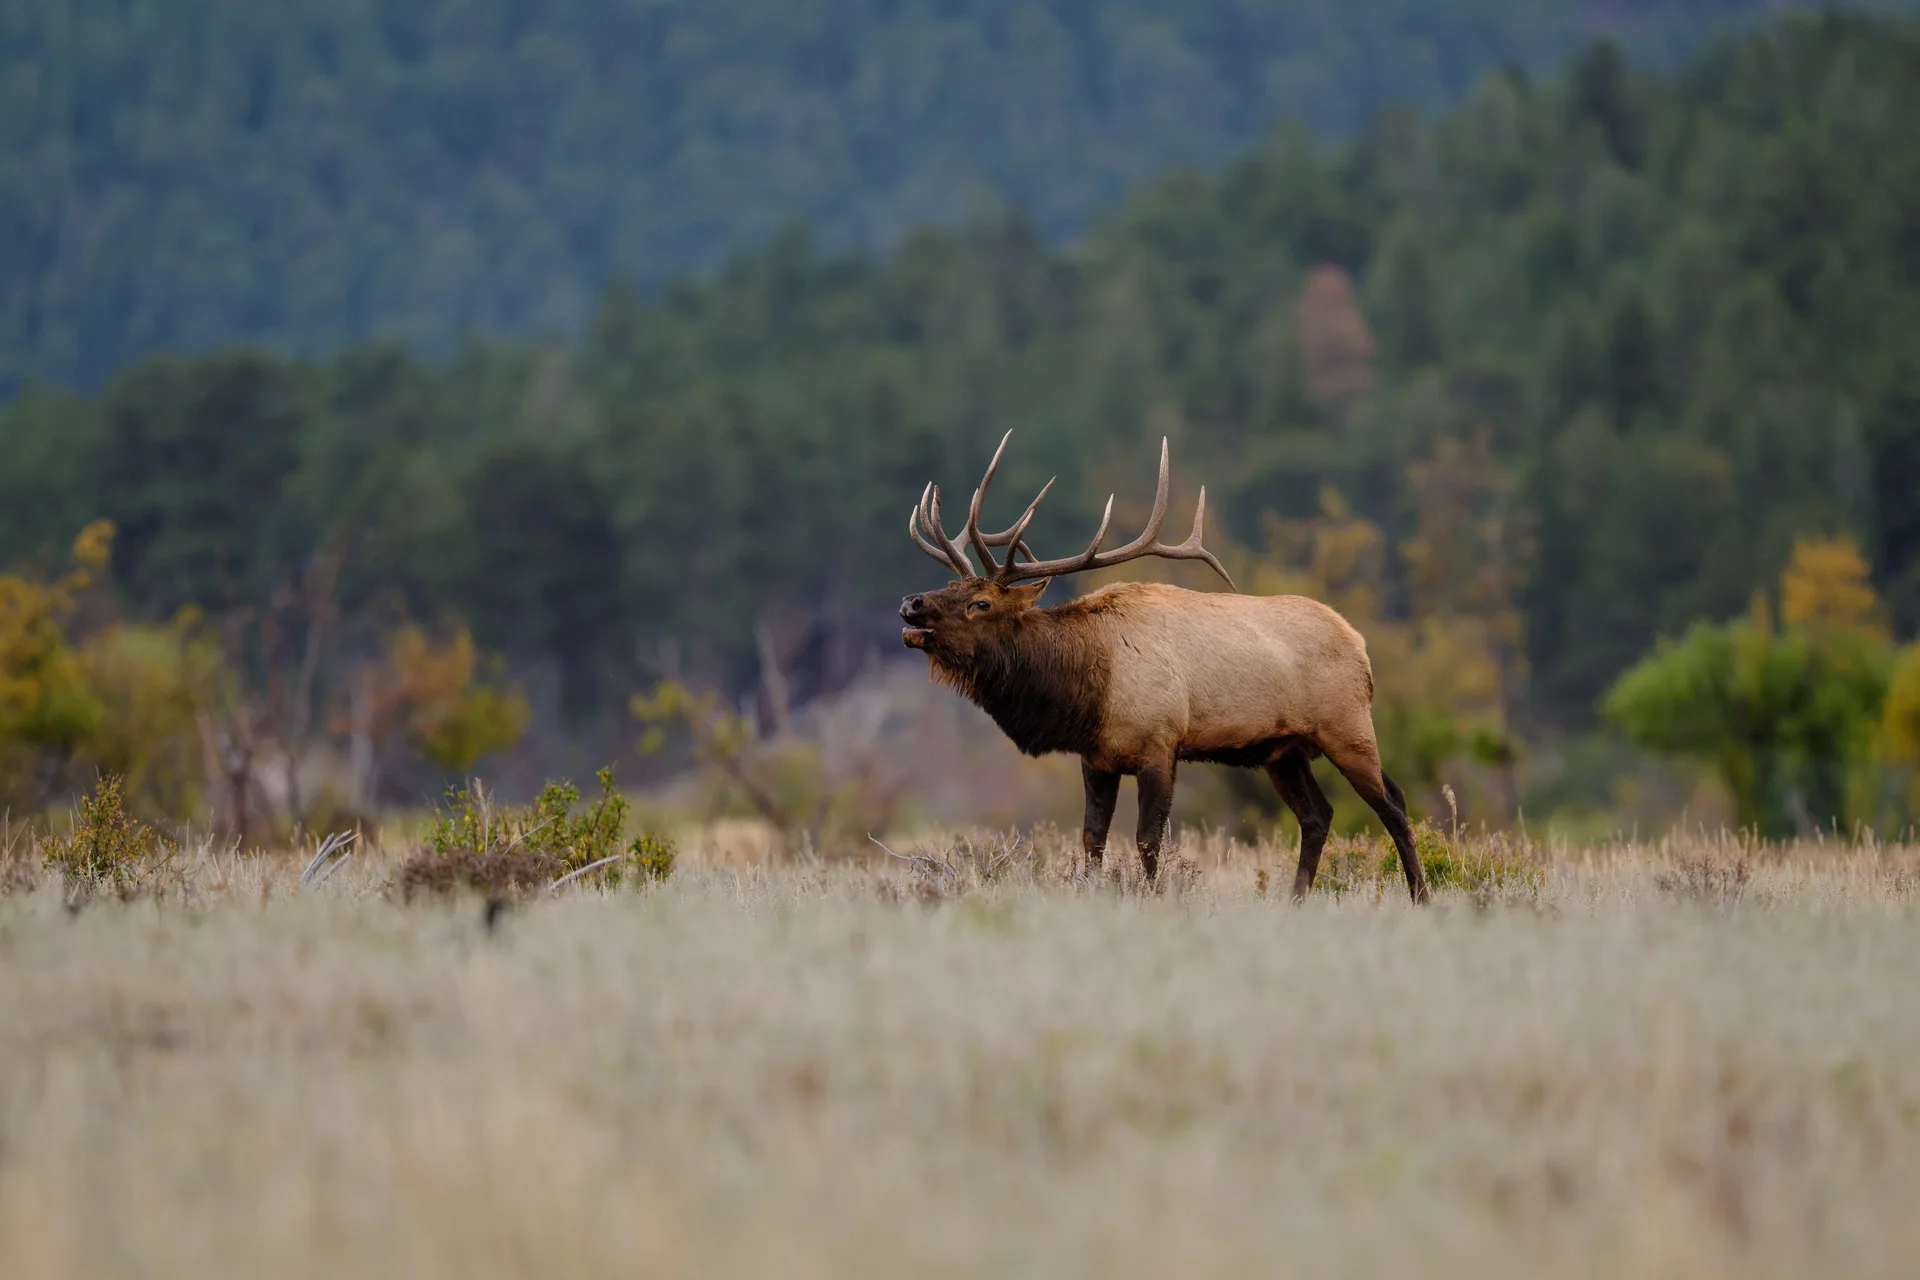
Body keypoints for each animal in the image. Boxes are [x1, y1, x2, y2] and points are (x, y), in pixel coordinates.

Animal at [899, 433, 1429, 903]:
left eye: (981, 603)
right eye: (951, 585)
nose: (911, 603)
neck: (1088, 686)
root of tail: (1360, 646)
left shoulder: (1159, 744)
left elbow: (1147, 840)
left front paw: (1154, 900)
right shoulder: (1097, 758)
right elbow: (1092, 840)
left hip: (1347, 727)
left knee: (1394, 804)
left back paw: (1420, 897)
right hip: (1283, 750)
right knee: (1318, 815)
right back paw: (1296, 900)